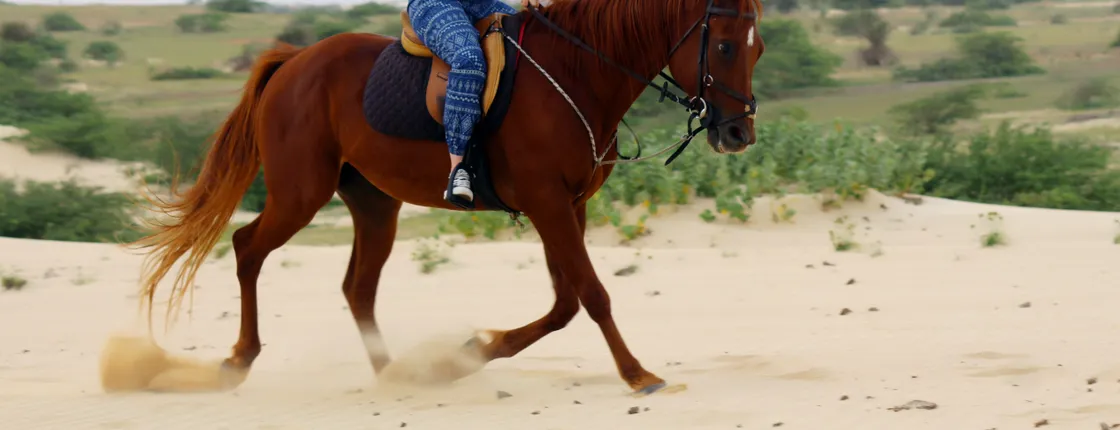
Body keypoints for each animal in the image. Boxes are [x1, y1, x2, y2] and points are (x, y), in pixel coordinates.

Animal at [127, 0, 765, 395]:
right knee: (247, 248)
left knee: (357, 287)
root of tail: (294, 62)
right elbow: (592, 295)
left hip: (375, 205)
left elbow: (564, 303)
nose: (739, 134)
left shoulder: (568, 204)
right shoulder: (547, 203)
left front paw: (473, 351)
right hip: (299, 194)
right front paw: (638, 374)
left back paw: (398, 375)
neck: (577, 73)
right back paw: (239, 359)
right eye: (725, 47)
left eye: (757, 49)